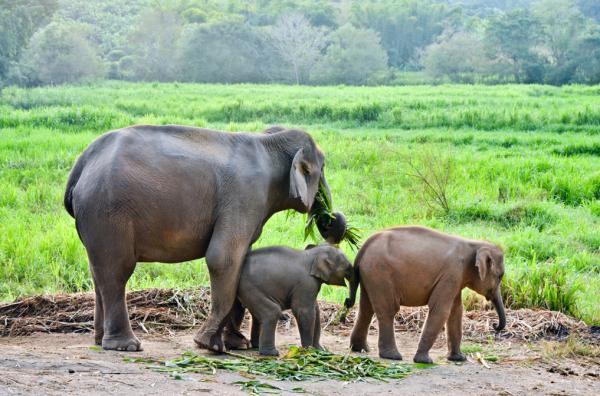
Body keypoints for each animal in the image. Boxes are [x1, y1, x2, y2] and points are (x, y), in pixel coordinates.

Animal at [62, 124, 344, 352]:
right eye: (323, 167)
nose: (330, 217)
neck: (269, 142)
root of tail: (81, 164)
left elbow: (241, 260)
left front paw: (237, 344)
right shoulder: (245, 195)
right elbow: (223, 258)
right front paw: (211, 345)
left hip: (97, 218)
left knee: (98, 271)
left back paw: (100, 341)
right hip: (109, 212)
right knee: (117, 271)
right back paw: (126, 346)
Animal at [344, 227, 504, 364]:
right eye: (500, 276)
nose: (495, 326)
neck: (473, 244)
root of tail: (363, 247)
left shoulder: (455, 278)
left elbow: (456, 311)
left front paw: (459, 358)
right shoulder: (452, 274)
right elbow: (441, 310)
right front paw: (424, 361)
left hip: (369, 274)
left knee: (366, 309)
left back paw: (360, 349)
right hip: (379, 273)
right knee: (387, 310)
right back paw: (392, 356)